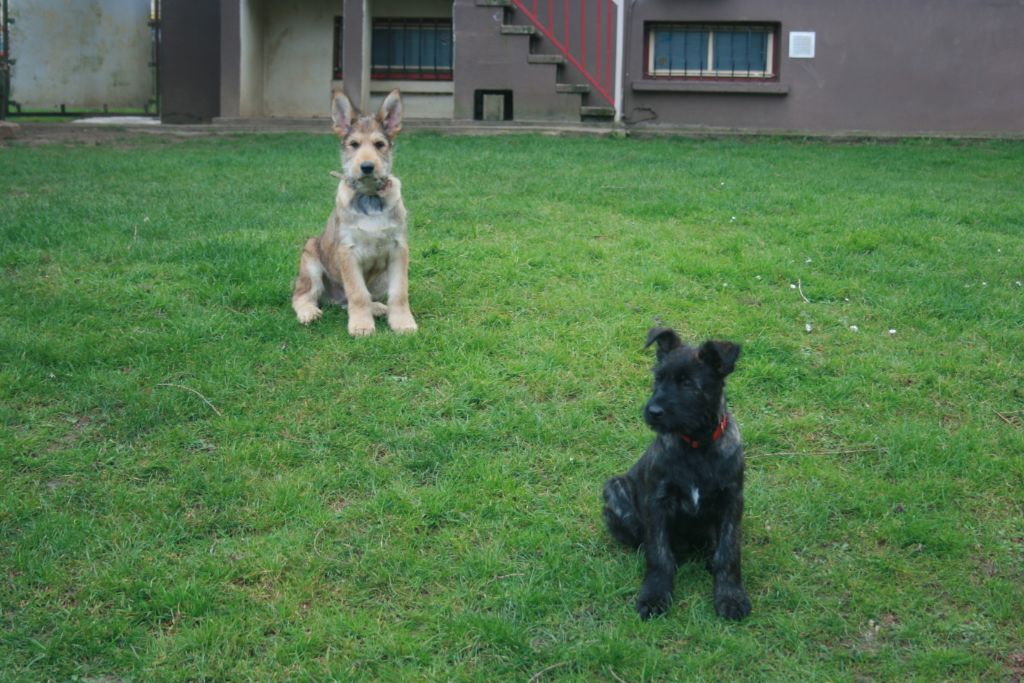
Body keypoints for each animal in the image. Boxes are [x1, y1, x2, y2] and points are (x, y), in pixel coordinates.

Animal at [598, 327, 753, 622]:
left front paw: (730, 597)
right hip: (615, 490)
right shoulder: (658, 502)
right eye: (658, 378)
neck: (696, 445)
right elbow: (658, 554)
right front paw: (654, 596)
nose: (653, 412)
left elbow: (729, 552)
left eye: (688, 384)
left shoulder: (731, 500)